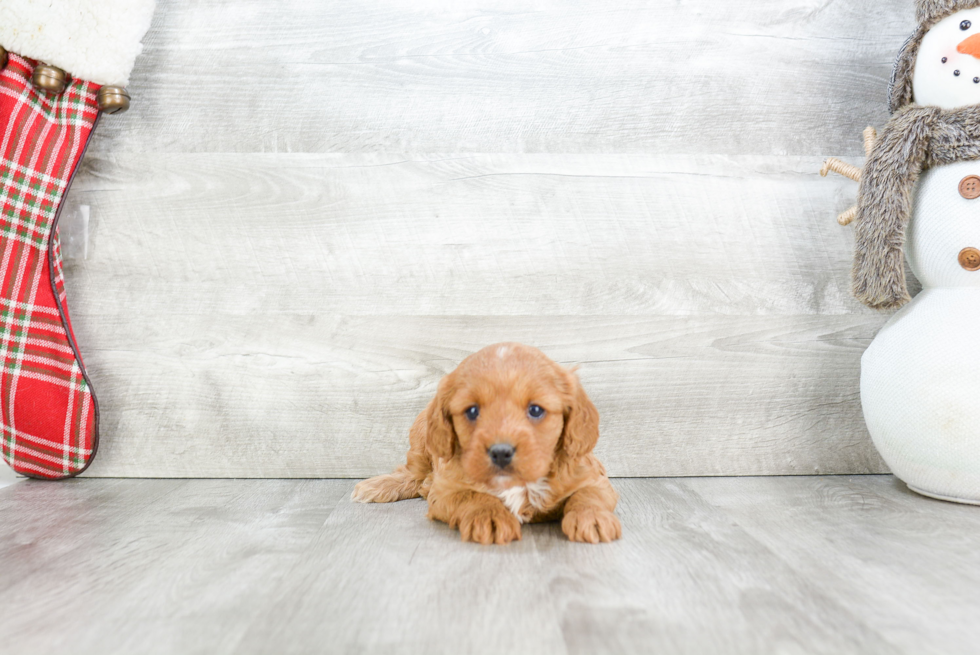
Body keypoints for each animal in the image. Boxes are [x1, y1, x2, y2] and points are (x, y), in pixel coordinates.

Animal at [350, 346, 620, 544]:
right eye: (472, 411)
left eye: (535, 410)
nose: (501, 452)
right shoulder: (446, 490)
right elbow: (472, 495)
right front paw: (489, 517)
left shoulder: (593, 476)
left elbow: (588, 494)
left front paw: (593, 518)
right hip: (420, 437)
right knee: (412, 475)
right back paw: (376, 486)